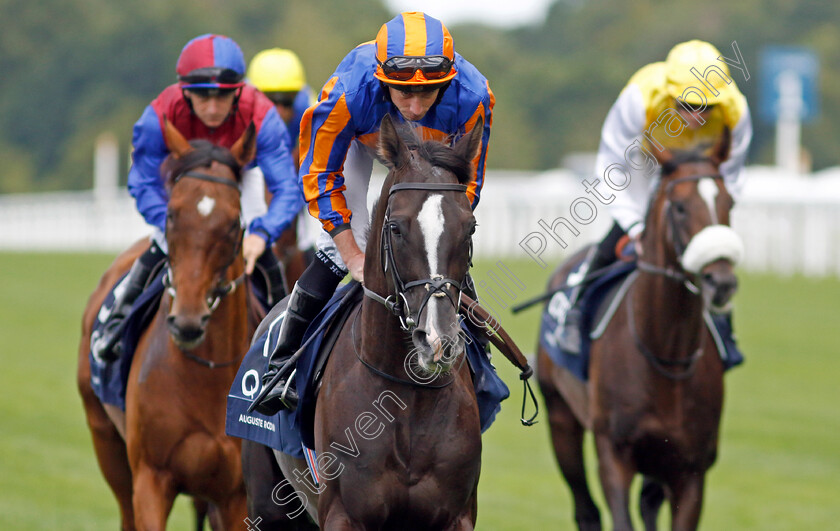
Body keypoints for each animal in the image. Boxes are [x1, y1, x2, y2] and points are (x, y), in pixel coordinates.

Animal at [79, 120, 262, 531]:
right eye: (171, 216)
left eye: (234, 224)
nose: (188, 323)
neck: (205, 376)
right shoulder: (151, 478)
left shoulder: (237, 496)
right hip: (106, 442)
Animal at [540, 130, 740, 531]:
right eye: (679, 207)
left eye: (730, 203)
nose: (722, 282)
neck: (665, 353)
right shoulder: (614, 454)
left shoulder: (691, 469)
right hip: (560, 418)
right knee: (586, 511)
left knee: (648, 503)